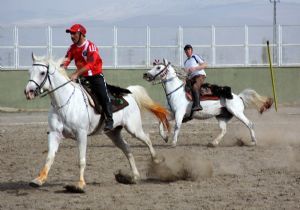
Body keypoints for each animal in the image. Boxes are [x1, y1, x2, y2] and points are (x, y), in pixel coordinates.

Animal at [24, 54, 169, 192]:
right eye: (30, 71)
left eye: (42, 72)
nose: (28, 92)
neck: (65, 104)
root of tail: (130, 94)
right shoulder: (54, 134)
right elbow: (49, 157)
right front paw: (38, 180)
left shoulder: (81, 134)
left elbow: (81, 160)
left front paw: (79, 185)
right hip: (113, 133)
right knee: (127, 149)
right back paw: (134, 176)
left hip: (133, 129)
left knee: (147, 139)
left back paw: (156, 160)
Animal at [144, 59, 274, 147]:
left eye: (159, 67)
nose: (146, 74)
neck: (176, 91)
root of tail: (239, 97)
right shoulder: (172, 113)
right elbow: (161, 121)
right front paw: (165, 137)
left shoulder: (179, 113)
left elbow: (177, 126)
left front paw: (173, 142)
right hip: (221, 116)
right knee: (223, 130)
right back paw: (213, 143)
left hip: (237, 113)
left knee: (249, 124)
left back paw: (253, 142)